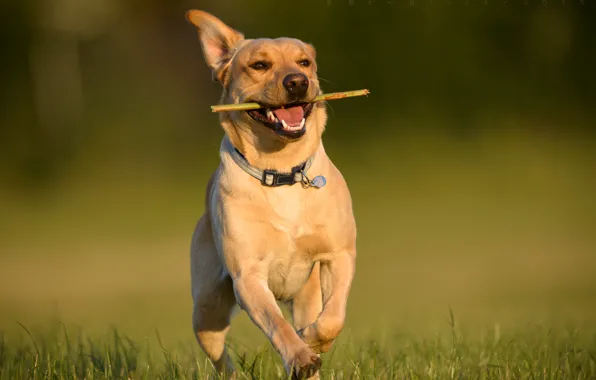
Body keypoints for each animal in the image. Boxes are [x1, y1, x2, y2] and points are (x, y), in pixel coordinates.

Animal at [185, 10, 354, 378]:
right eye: (259, 65)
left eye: (305, 62)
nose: (297, 82)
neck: (283, 172)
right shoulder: (248, 278)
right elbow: (278, 325)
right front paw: (301, 355)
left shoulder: (340, 254)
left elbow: (332, 318)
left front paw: (312, 341)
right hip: (207, 309)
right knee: (219, 357)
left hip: (307, 296)